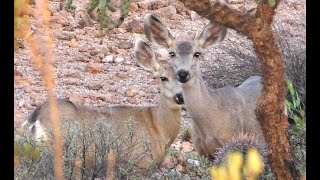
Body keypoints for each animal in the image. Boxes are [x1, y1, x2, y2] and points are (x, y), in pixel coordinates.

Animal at [23, 39, 184, 172]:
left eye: (186, 76)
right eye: (163, 78)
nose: (180, 96)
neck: (158, 128)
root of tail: (36, 118)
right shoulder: (139, 164)